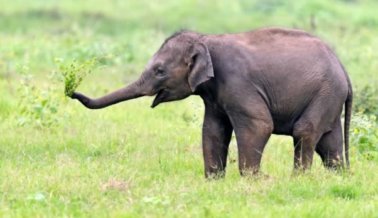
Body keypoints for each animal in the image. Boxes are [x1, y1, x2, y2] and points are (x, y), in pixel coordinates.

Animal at [70, 27, 352, 178]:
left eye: (160, 71)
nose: (72, 92)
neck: (206, 39)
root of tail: (344, 70)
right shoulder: (214, 95)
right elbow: (213, 131)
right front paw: (213, 182)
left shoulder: (238, 82)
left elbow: (259, 125)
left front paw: (253, 181)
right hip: (328, 96)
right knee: (329, 143)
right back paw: (338, 178)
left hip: (325, 92)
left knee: (304, 131)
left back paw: (297, 180)